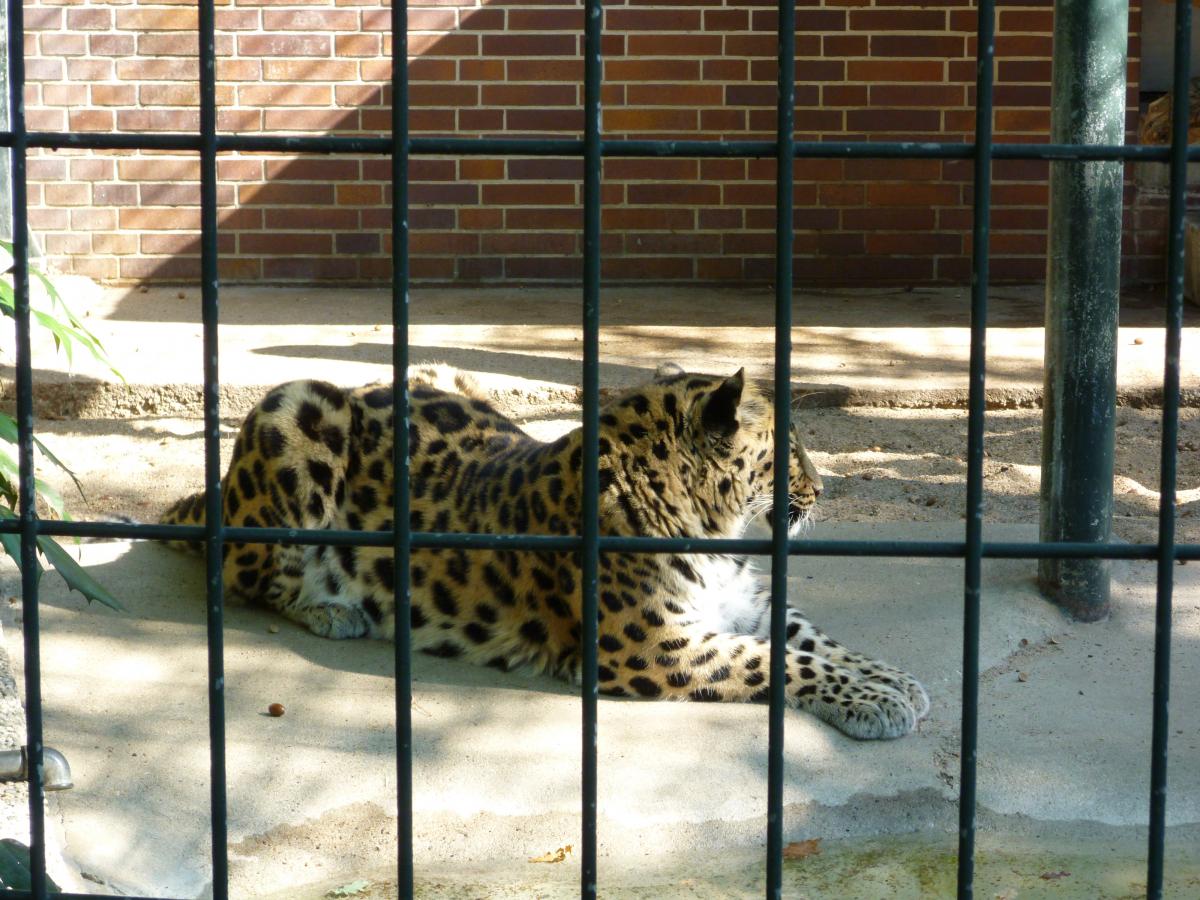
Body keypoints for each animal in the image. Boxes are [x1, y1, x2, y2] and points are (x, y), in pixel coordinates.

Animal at [160, 362, 929, 740]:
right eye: (788, 446)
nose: (824, 488)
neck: (718, 529)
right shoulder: (648, 645)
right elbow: (776, 660)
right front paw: (878, 698)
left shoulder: (741, 601)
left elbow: (812, 638)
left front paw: (895, 681)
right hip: (296, 410)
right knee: (243, 573)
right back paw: (335, 607)